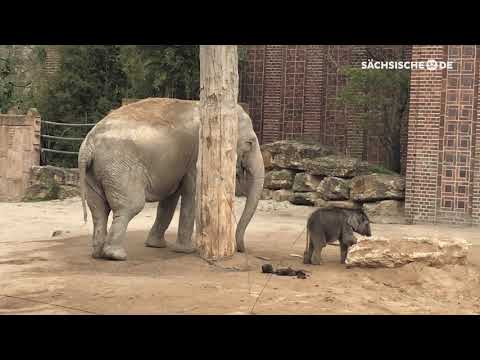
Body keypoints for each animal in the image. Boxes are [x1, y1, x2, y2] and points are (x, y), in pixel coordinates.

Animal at [80, 97, 264, 262]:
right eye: (250, 143)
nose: (241, 249)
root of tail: (88, 145)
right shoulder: (197, 157)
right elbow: (191, 193)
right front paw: (187, 251)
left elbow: (169, 200)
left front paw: (156, 245)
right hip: (120, 169)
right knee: (130, 206)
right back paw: (116, 255)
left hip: (95, 173)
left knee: (98, 209)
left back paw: (98, 253)